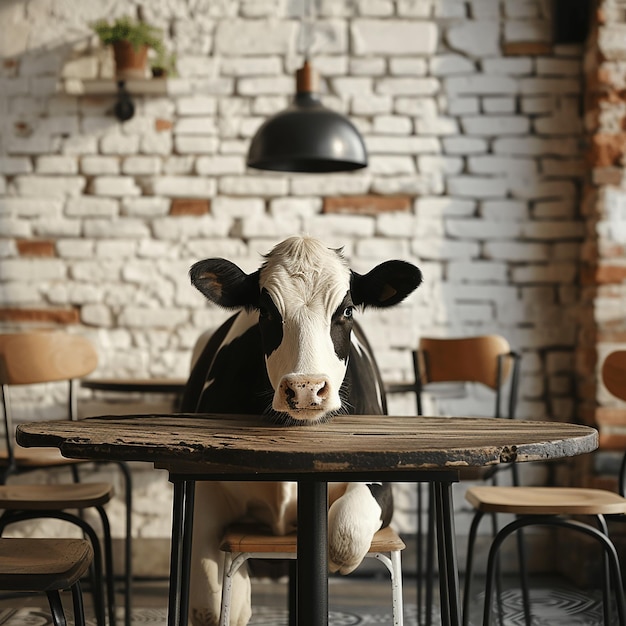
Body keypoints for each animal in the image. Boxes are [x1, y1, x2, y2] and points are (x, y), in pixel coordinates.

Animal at [183, 235, 422, 624]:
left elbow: (344, 535)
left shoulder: (381, 480)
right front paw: (237, 593)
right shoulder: (205, 486)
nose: (306, 388)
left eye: (347, 311)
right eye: (265, 312)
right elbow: (211, 600)